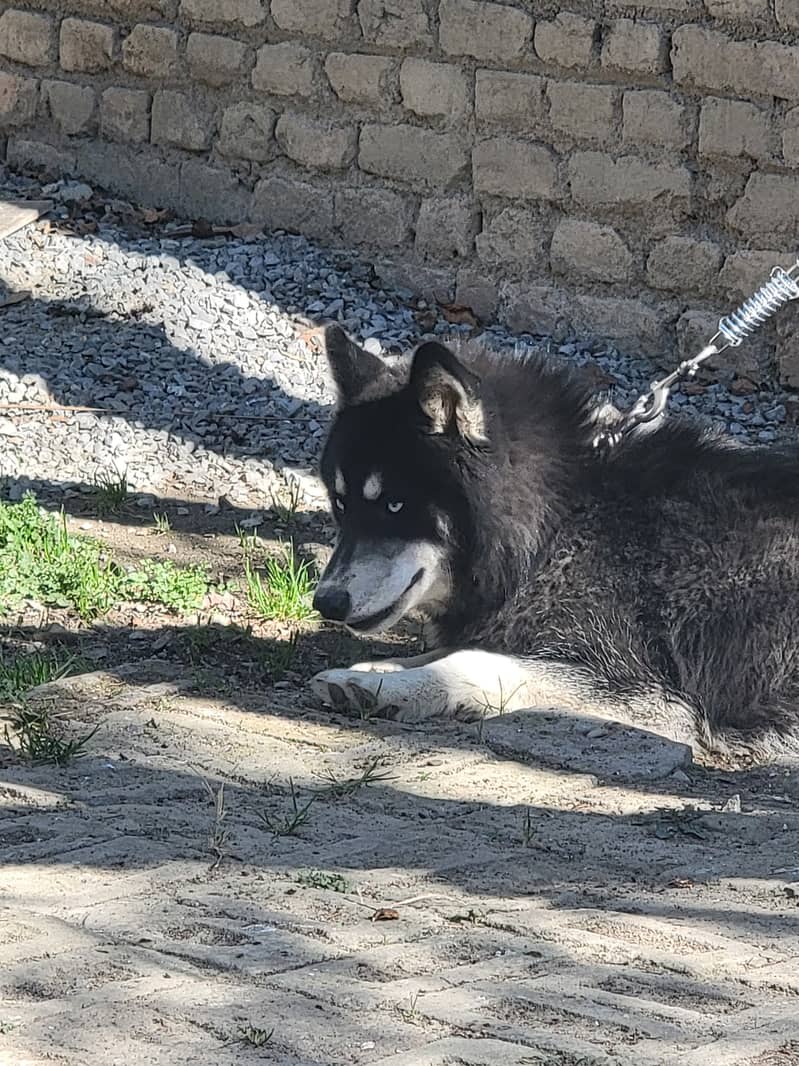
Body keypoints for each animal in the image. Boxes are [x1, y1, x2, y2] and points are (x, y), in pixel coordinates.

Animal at [311, 321, 799, 758]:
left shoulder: (652, 695)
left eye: (395, 505)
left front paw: (381, 684)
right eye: (340, 504)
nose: (325, 602)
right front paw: (376, 669)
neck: (560, 524)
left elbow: (475, 661)